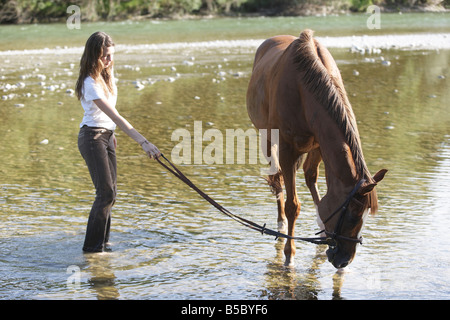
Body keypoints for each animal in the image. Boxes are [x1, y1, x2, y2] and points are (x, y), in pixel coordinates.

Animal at [246, 30, 386, 268]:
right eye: (352, 216)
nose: (344, 260)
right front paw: (289, 253)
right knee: (278, 179)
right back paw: (281, 221)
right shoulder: (287, 150)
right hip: (268, 141)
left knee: (308, 177)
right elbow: (293, 206)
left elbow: (312, 179)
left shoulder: (320, 144)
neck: (304, 90)